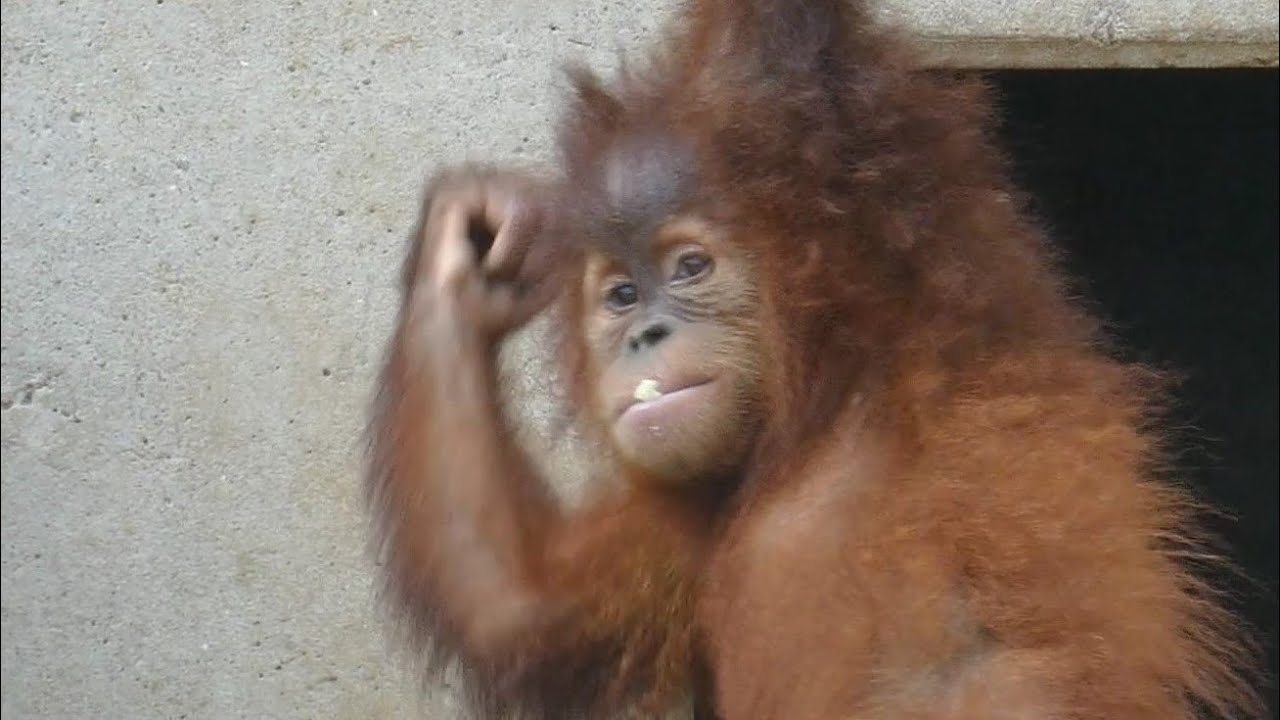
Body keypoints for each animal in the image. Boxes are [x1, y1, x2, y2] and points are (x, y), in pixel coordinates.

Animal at [364, 0, 1262, 718]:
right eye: (619, 294)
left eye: (690, 267)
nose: (643, 334)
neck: (825, 415)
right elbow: (520, 598)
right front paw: (463, 263)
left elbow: (994, 678)